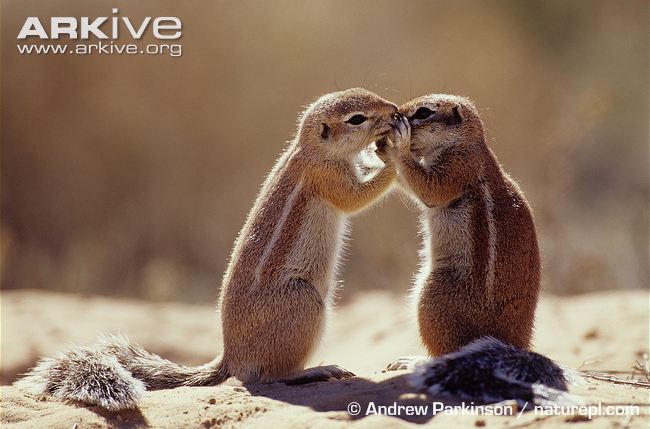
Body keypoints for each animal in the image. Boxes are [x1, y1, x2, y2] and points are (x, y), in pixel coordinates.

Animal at [13, 86, 400, 408]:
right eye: (357, 119)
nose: (395, 110)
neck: (309, 148)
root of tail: (230, 356)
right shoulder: (328, 177)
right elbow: (356, 199)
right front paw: (395, 157)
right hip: (304, 302)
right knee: (266, 376)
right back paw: (314, 370)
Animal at [382, 93, 576, 404]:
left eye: (423, 113)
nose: (396, 114)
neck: (465, 143)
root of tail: (511, 345)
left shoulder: (459, 167)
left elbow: (429, 188)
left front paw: (396, 143)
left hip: (433, 296)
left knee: (446, 353)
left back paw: (412, 361)